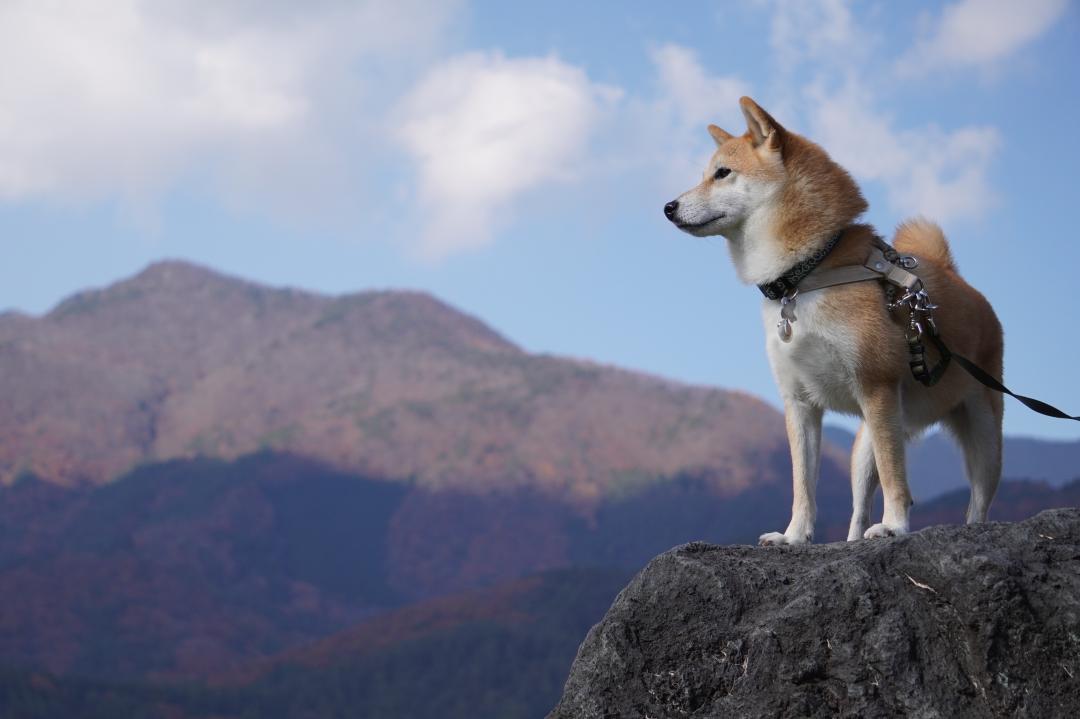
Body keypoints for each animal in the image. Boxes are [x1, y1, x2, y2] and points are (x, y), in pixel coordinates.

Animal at [665, 96, 1002, 544]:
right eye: (706, 174)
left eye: (721, 173)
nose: (668, 207)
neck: (807, 272)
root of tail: (954, 276)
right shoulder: (799, 402)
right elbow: (803, 484)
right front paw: (794, 536)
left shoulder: (877, 387)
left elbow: (896, 479)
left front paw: (896, 525)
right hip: (867, 444)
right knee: (859, 506)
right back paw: (855, 538)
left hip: (981, 434)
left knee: (977, 500)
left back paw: (969, 527)